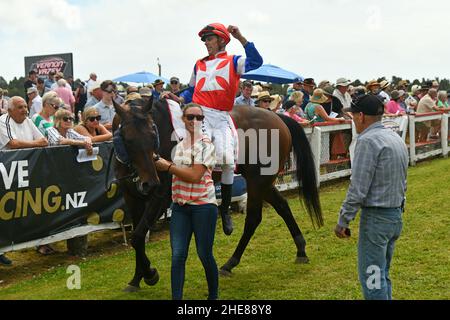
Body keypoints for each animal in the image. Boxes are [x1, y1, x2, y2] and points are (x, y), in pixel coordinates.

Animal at [112, 98, 324, 292]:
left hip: (257, 181)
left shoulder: (161, 197)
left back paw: (231, 262)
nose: (150, 183)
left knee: (253, 218)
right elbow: (138, 237)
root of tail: (277, 116)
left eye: (152, 134)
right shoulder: (132, 198)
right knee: (282, 206)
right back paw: (301, 249)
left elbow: (137, 236)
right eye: (128, 140)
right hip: (263, 182)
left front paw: (149, 274)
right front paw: (137, 277)